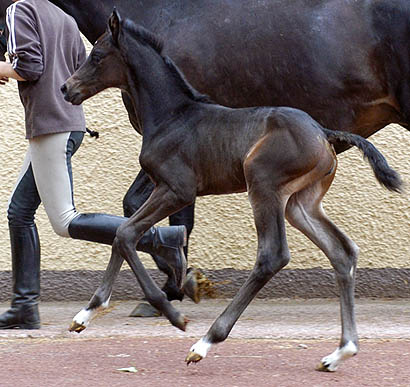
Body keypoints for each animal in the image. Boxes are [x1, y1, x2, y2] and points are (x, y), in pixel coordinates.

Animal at [62, 10, 402, 372]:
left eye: (97, 56)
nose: (66, 88)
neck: (173, 116)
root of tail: (323, 132)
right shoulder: (163, 190)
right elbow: (122, 234)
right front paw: (85, 314)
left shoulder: (177, 190)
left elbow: (126, 232)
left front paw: (173, 314)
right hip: (300, 202)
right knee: (342, 251)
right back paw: (341, 351)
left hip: (262, 184)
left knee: (272, 255)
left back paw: (206, 342)